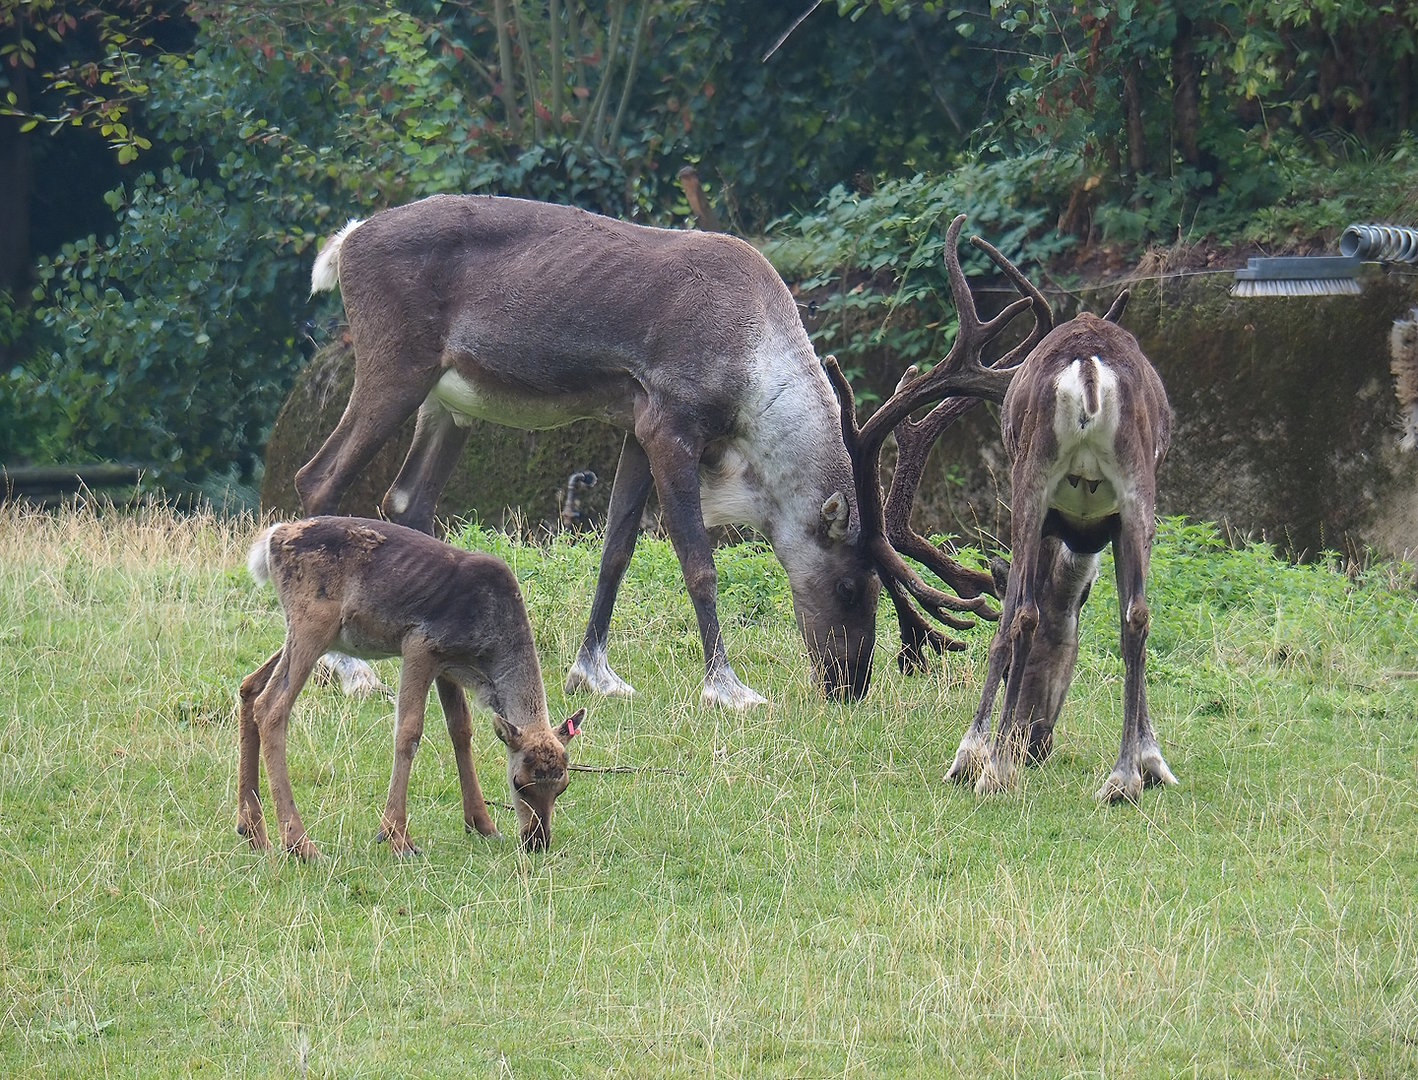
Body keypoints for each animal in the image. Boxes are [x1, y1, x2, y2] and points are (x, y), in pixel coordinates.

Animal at [238, 515, 584, 858]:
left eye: (563, 786)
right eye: (519, 782)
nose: (537, 840)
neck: (486, 657)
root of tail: (272, 539)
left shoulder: (448, 664)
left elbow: (461, 730)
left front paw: (483, 825)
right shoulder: (420, 642)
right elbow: (409, 731)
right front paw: (396, 837)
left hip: (310, 633)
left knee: (249, 685)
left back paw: (253, 831)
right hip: (312, 621)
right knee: (271, 706)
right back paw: (299, 843)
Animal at [298, 194, 893, 709]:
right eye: (848, 586)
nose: (850, 685)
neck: (756, 363)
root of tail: (347, 240)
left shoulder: (636, 429)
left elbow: (616, 549)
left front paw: (594, 676)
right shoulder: (671, 424)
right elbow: (698, 562)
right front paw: (727, 689)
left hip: (446, 402)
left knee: (406, 500)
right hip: (395, 367)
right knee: (319, 479)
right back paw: (349, 670)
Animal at [827, 214, 1177, 804]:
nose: (1034, 744)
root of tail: (1089, 368)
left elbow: (1015, 616)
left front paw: (978, 755)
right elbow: (1127, 613)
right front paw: (1151, 759)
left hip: (1029, 478)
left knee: (1020, 612)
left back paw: (985, 761)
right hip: (1136, 486)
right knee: (1136, 616)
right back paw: (1123, 777)